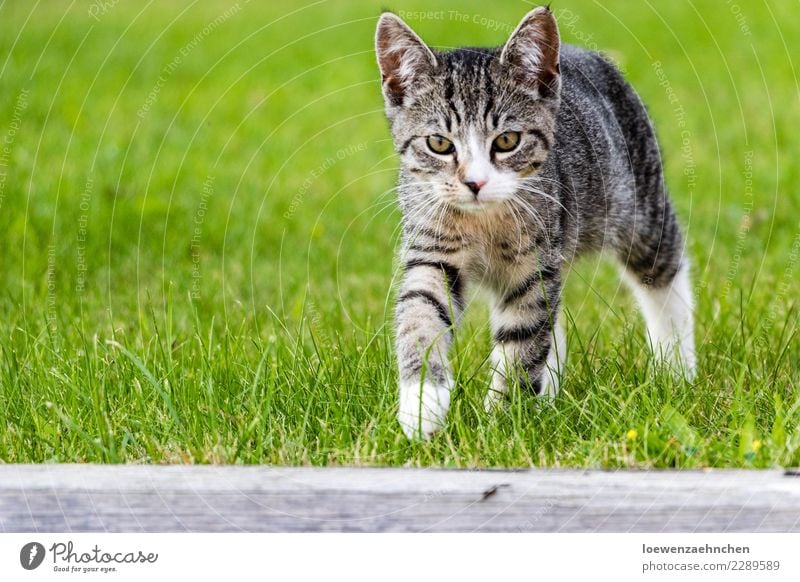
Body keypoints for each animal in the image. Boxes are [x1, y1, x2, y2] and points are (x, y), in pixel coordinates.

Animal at [376, 6, 692, 440]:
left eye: (507, 141)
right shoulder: (432, 243)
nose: (475, 182)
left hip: (639, 202)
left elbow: (523, 336)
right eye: (439, 144)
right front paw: (422, 402)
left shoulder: (533, 260)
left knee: (663, 269)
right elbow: (421, 309)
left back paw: (677, 367)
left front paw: (502, 421)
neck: (483, 222)